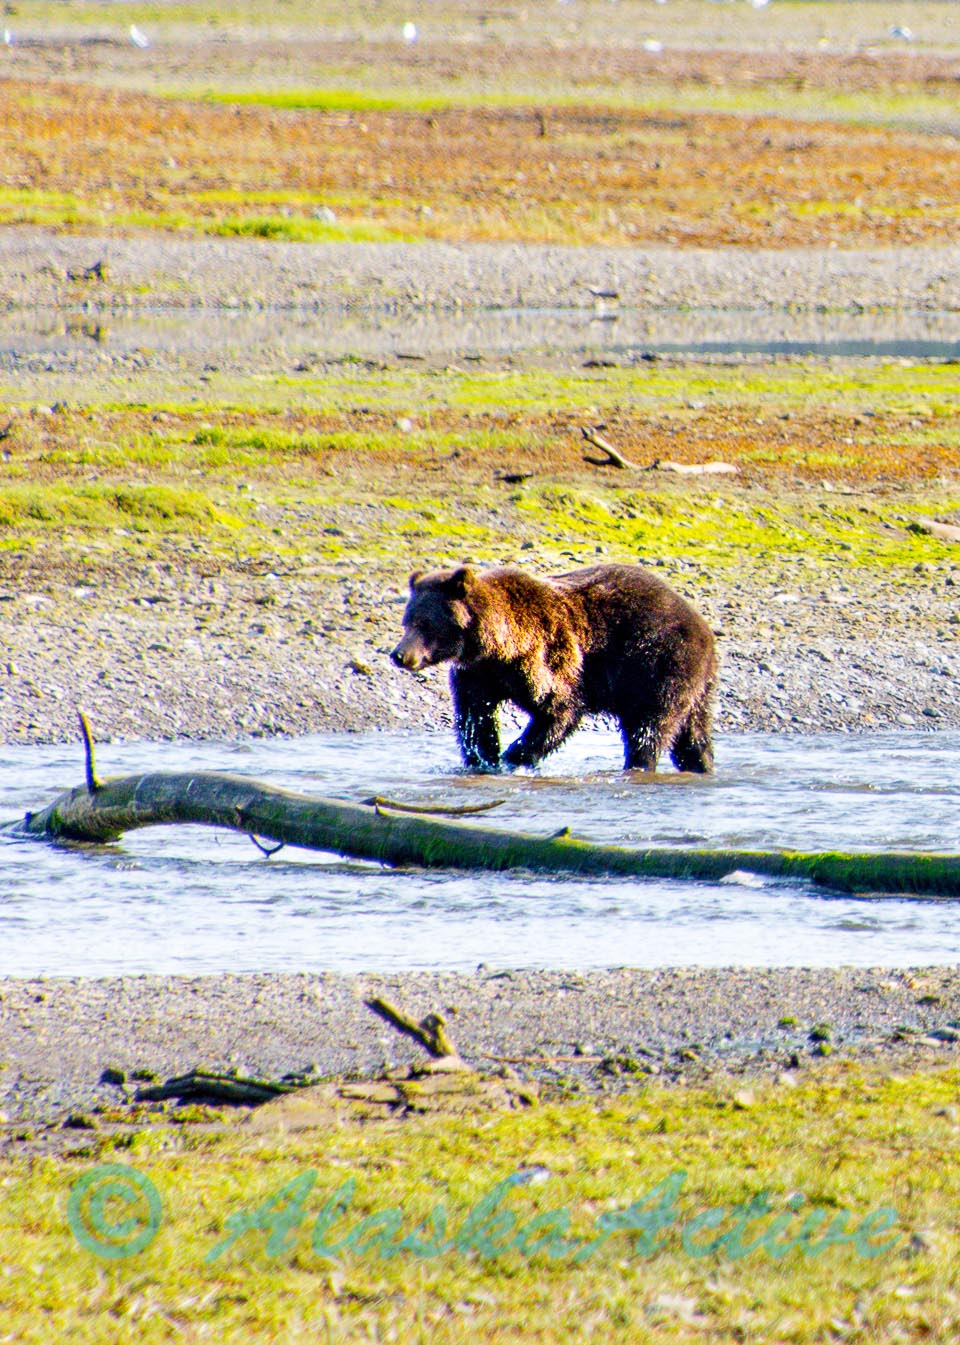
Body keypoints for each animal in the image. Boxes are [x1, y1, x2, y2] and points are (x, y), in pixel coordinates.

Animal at [387, 562, 709, 774]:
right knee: (693, 735)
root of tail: (701, 624)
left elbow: (559, 709)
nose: (399, 655)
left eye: (424, 624)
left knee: (648, 728)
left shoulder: (546, 656)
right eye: (407, 621)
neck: (496, 647)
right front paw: (483, 760)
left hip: (658, 663)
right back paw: (700, 765)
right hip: (695, 686)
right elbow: (476, 719)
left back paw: (639, 765)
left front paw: (513, 757)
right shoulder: (477, 675)